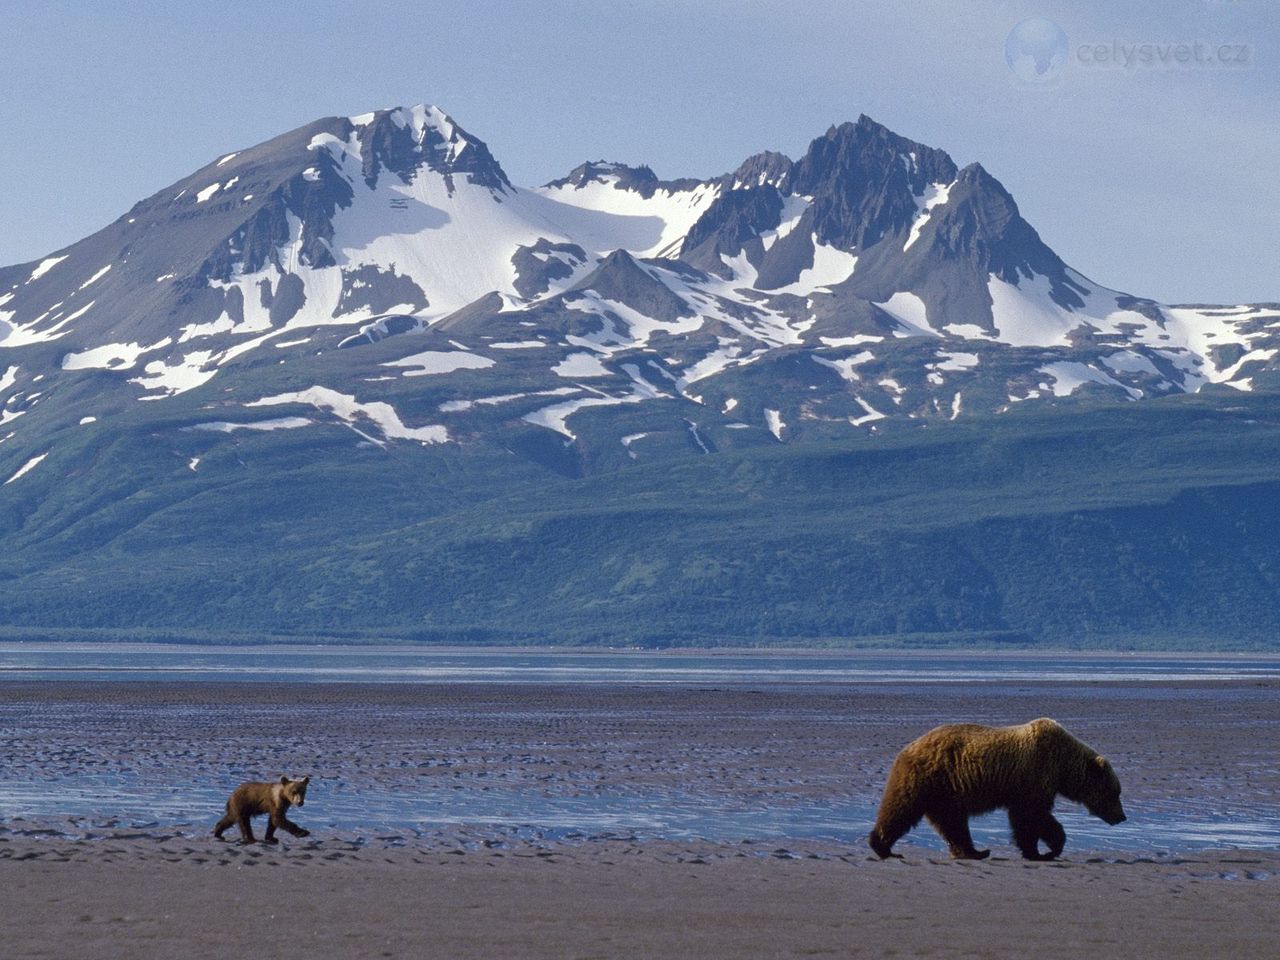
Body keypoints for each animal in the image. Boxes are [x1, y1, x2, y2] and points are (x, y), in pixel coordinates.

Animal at [868, 718, 1125, 861]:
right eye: (1115, 792)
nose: (1122, 817)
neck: (1063, 765)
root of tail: (908, 747)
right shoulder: (1034, 775)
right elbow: (1032, 816)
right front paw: (1047, 850)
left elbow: (1027, 818)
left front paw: (1038, 851)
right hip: (927, 778)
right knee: (901, 808)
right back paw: (883, 847)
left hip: (945, 792)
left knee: (952, 823)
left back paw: (974, 851)